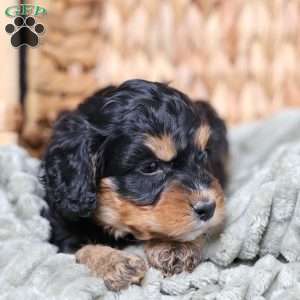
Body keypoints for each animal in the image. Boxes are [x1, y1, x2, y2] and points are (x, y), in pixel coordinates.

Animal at [41, 79, 227, 290]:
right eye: (150, 167)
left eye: (202, 155)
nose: (208, 208)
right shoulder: (62, 229)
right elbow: (82, 249)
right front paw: (115, 263)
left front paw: (175, 245)